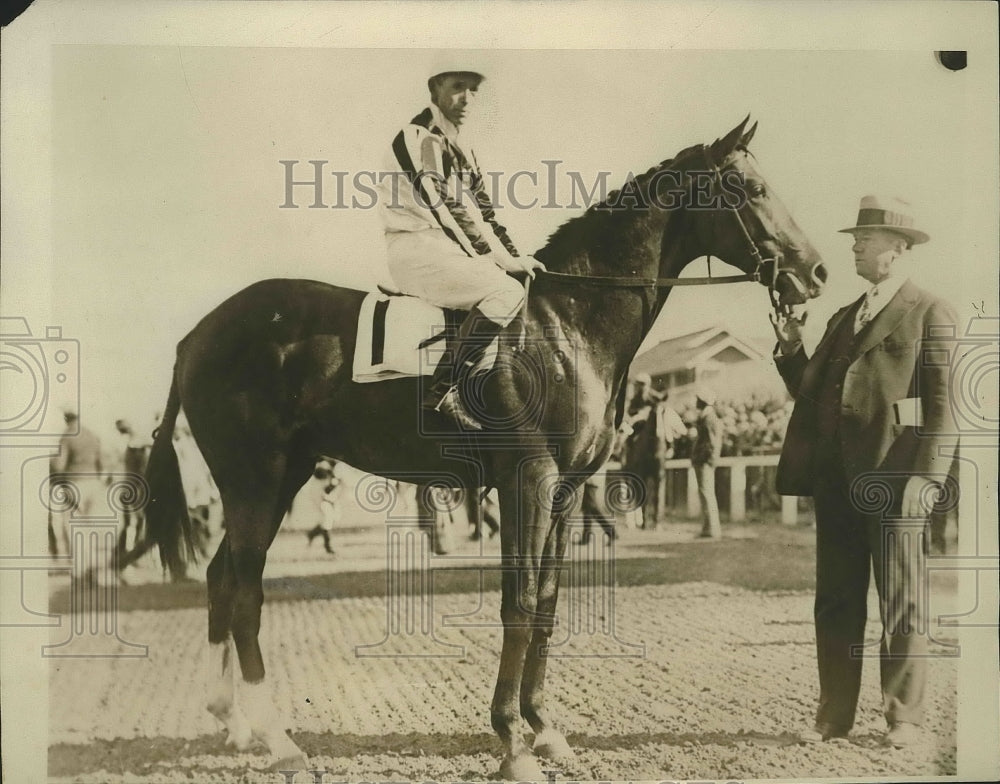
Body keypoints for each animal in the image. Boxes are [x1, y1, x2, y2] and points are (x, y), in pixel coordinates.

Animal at [143, 118, 828, 776]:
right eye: (754, 189)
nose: (816, 273)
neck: (565, 324)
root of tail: (196, 335)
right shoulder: (529, 479)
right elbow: (517, 601)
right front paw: (512, 740)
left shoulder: (567, 490)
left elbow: (547, 602)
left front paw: (545, 730)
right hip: (255, 478)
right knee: (246, 592)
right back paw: (279, 741)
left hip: (279, 476)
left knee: (222, 577)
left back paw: (234, 723)